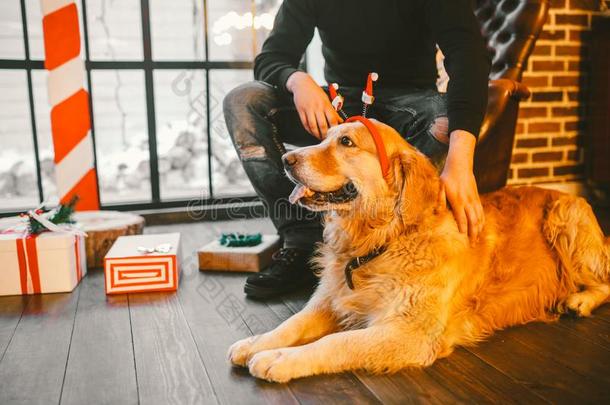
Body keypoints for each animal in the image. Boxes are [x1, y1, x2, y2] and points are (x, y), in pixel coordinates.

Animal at [226, 118, 604, 380]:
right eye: (325, 136)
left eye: (346, 142)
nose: (287, 158)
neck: (382, 242)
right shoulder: (330, 300)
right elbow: (290, 325)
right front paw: (255, 343)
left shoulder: (409, 334)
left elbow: (336, 342)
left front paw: (279, 359)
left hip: (565, 221)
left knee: (604, 280)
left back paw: (579, 301)